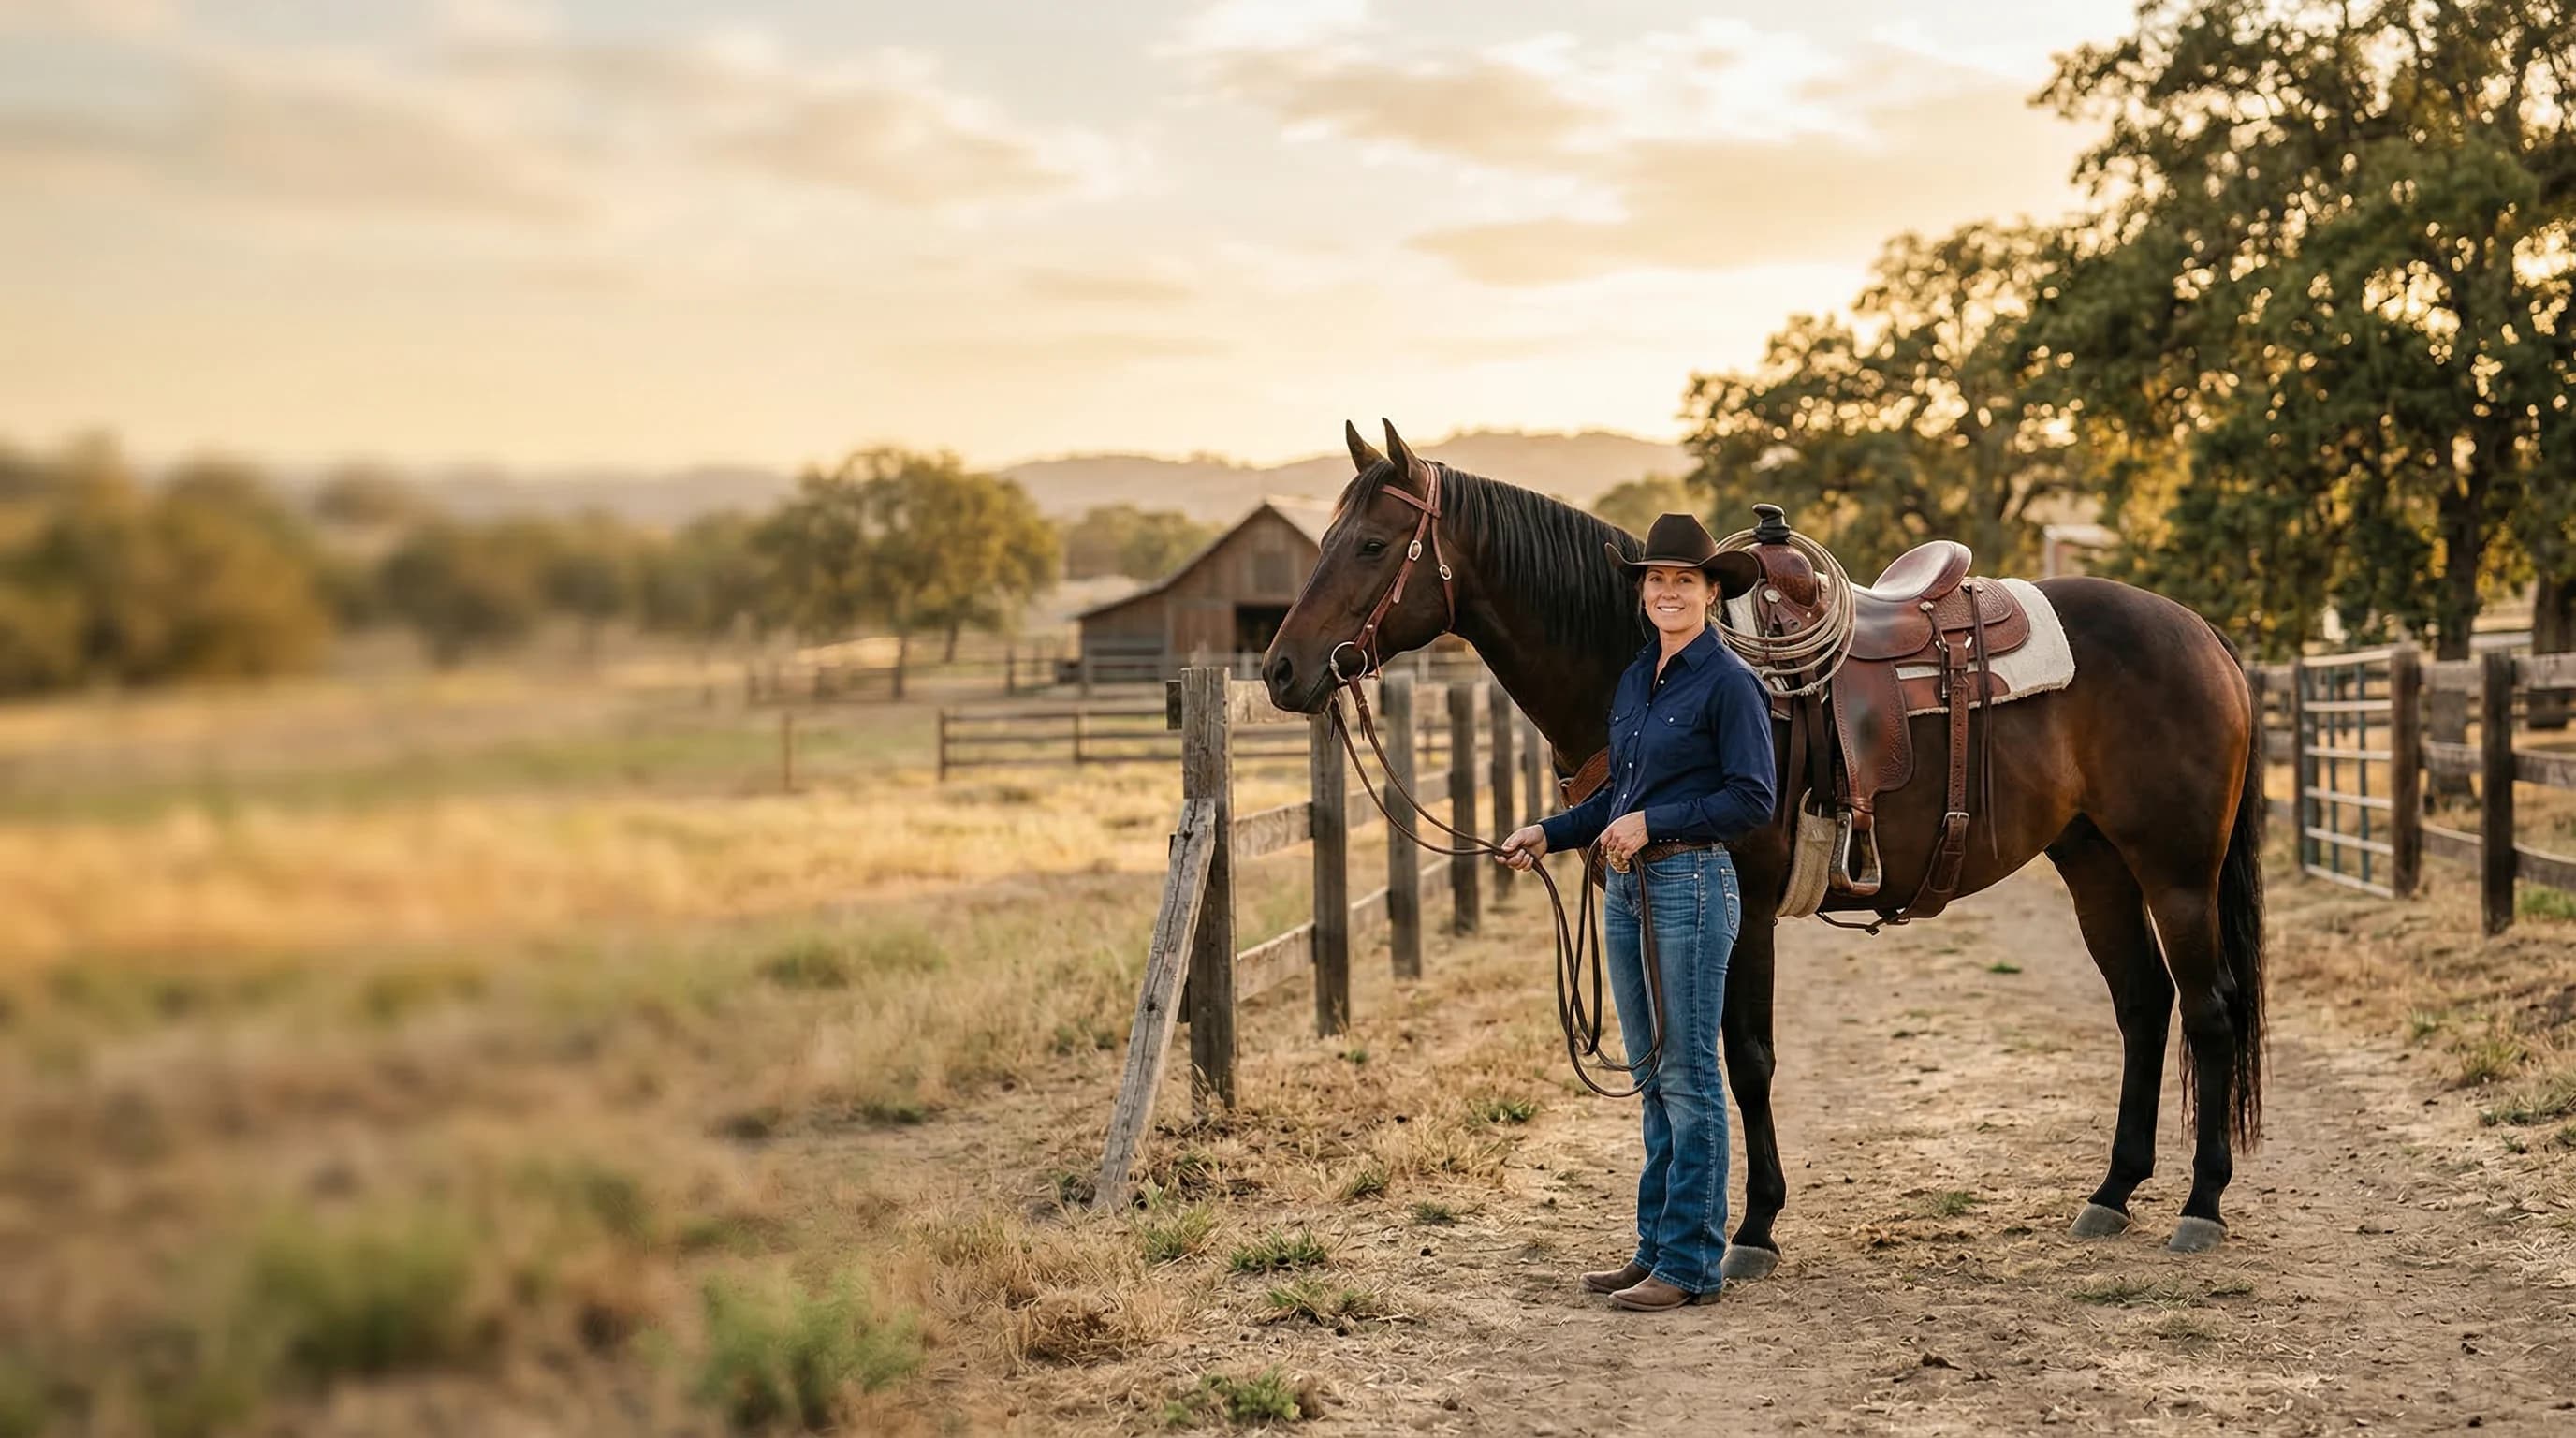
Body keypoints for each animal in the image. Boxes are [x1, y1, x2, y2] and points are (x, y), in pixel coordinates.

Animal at [1259, 420, 2266, 1274]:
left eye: (1372, 545)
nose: (1278, 670)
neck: (1644, 662)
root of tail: (2198, 631)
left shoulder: (1741, 907)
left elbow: (1744, 1059)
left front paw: (1751, 1229)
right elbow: (1677, 1055)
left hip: (2177, 871)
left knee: (2208, 1009)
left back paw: (2201, 1207)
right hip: (2095, 862)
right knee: (2142, 1005)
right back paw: (2112, 1192)